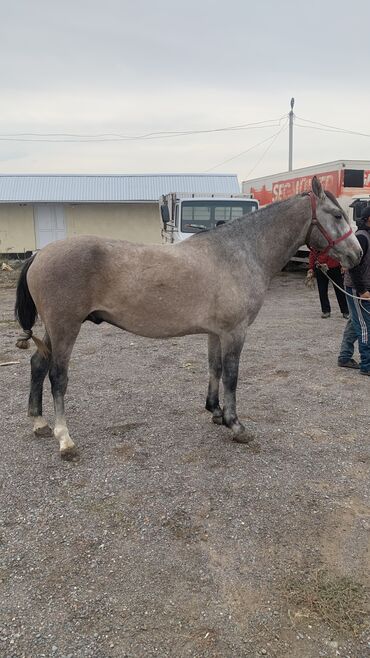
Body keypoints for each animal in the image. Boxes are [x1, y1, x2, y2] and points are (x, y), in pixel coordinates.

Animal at [14, 177, 362, 458]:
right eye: (336, 215)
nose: (357, 254)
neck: (239, 252)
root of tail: (40, 254)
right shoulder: (235, 332)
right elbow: (232, 376)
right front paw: (236, 426)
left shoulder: (215, 332)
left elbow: (215, 368)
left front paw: (216, 412)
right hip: (65, 328)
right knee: (57, 376)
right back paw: (64, 439)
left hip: (54, 330)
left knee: (38, 364)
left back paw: (39, 422)